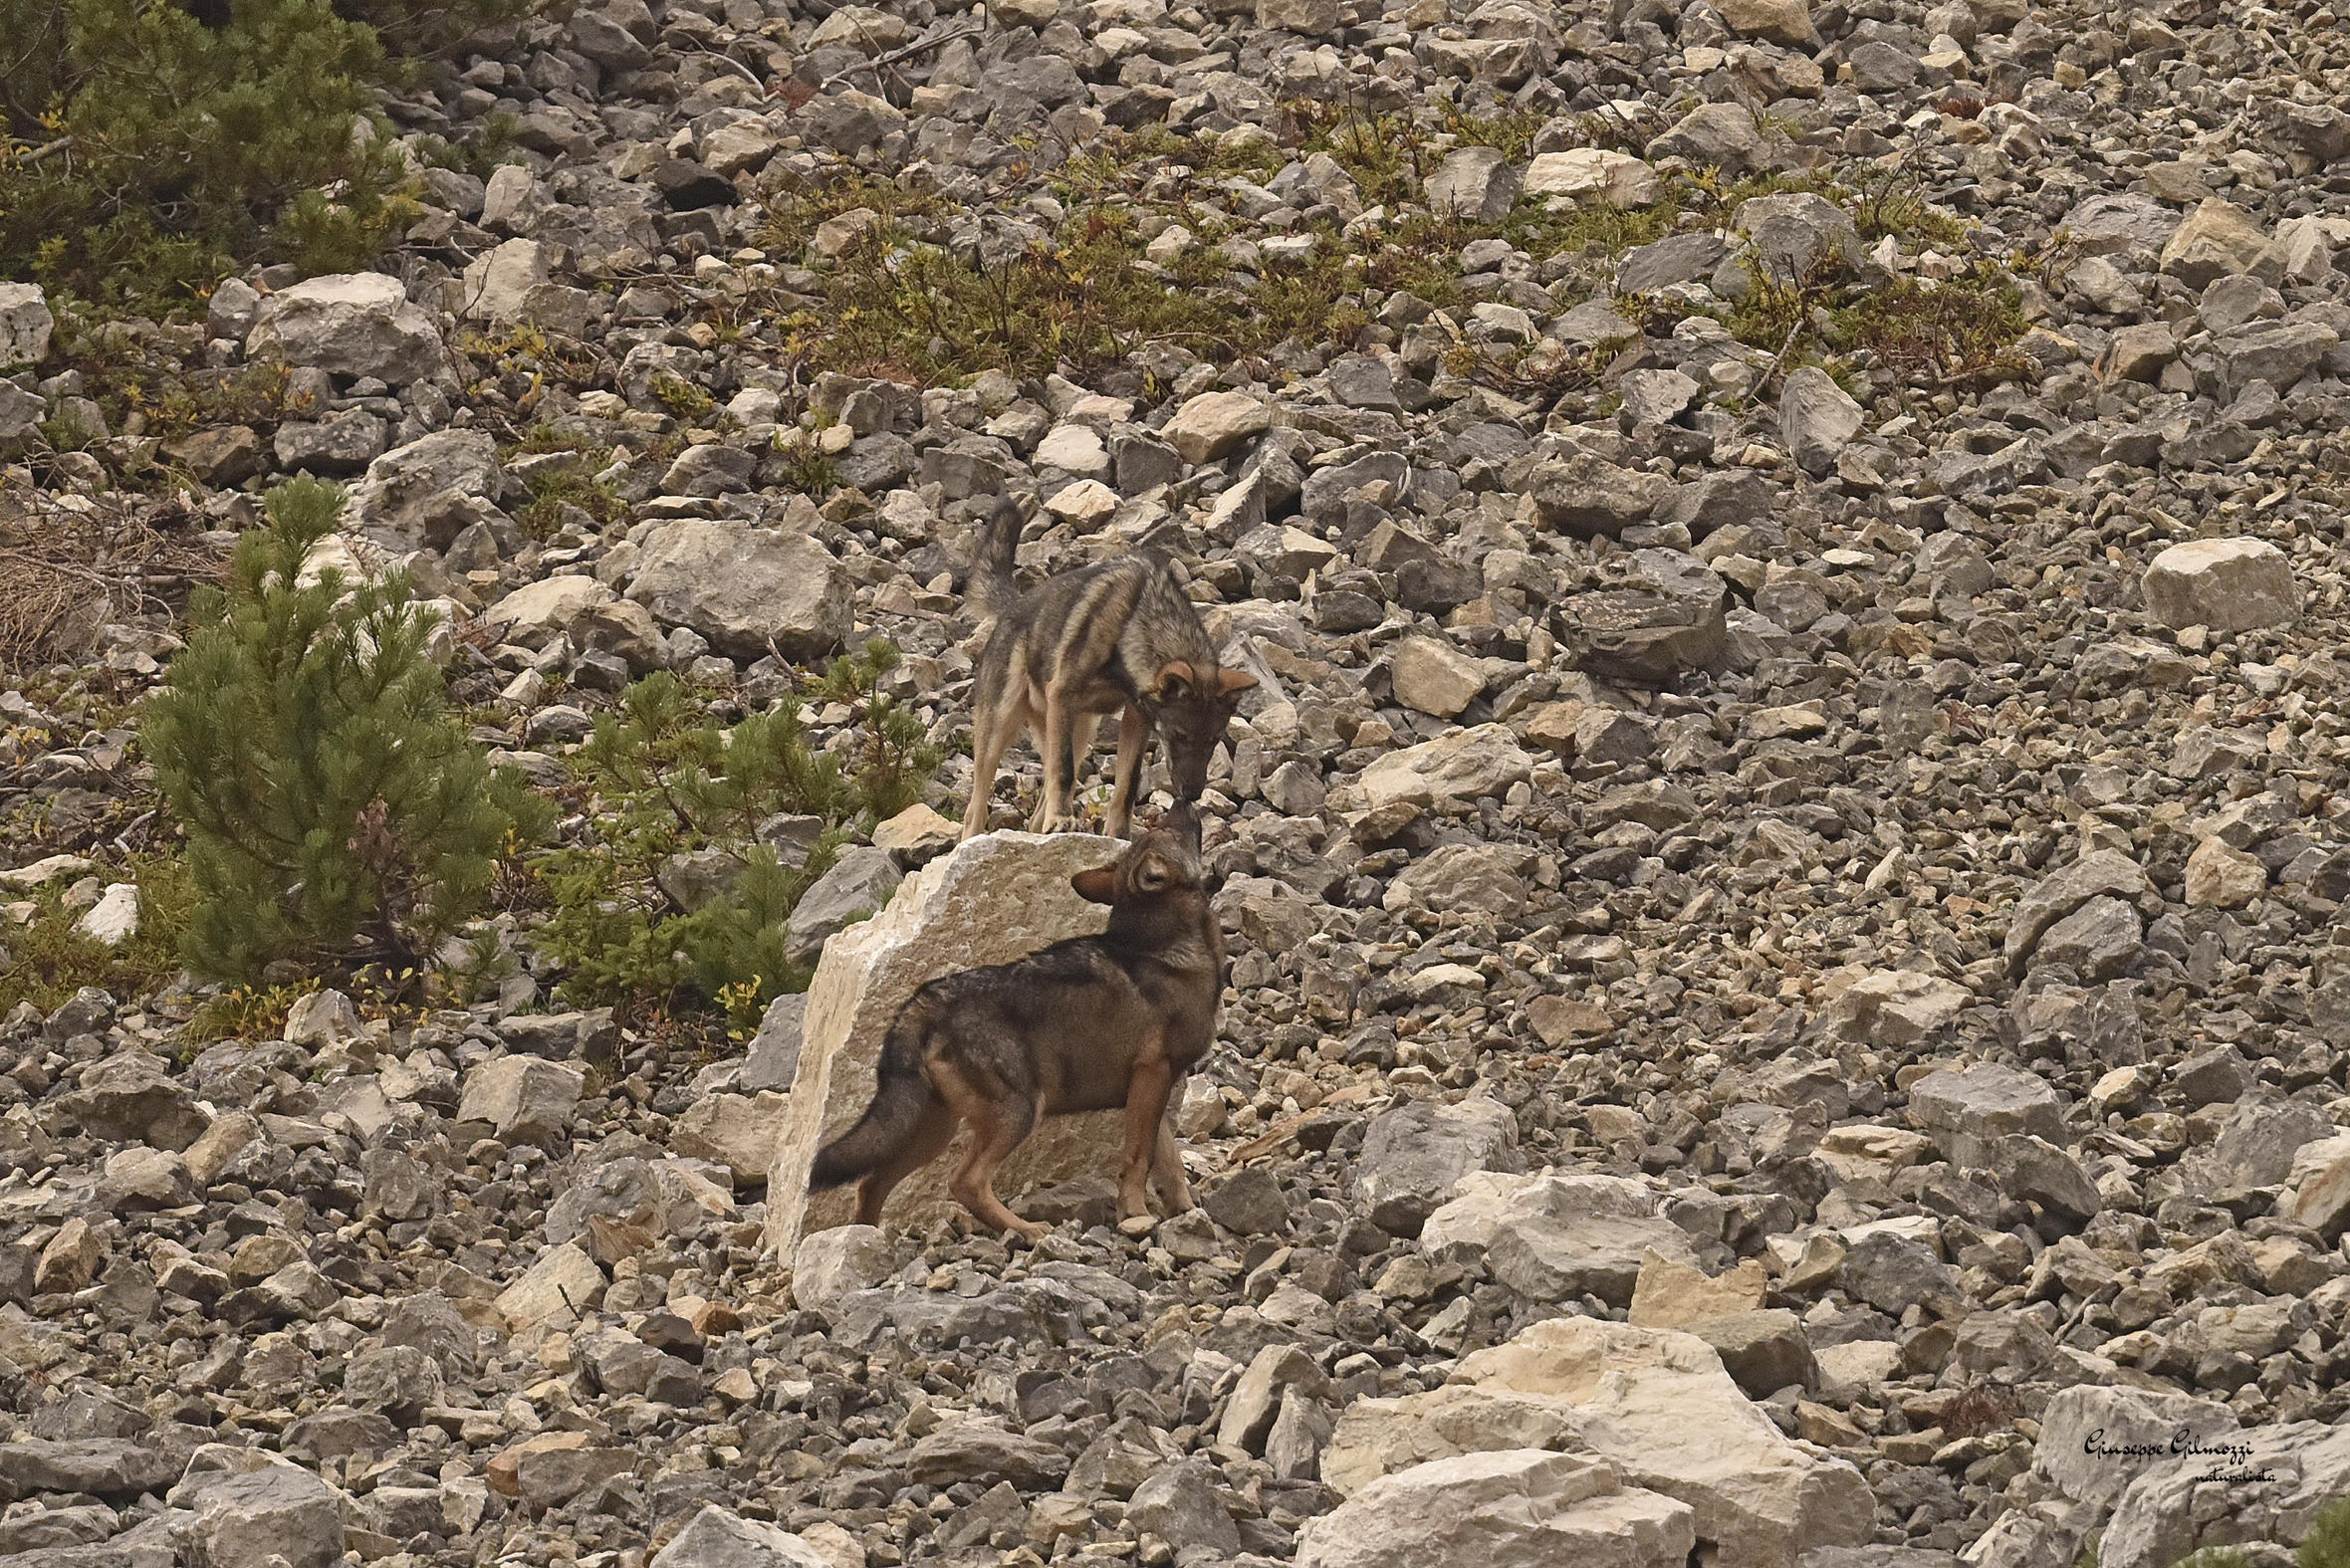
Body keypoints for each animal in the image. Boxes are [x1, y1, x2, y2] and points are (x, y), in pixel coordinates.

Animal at [808, 807, 1224, 1241]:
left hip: (934, 1129)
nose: (1182, 801)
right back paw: (1027, 1229)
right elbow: (1139, 1158)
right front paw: (1136, 1215)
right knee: (965, 1182)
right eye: (1172, 831)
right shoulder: (1152, 1074)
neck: (1164, 946)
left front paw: (1185, 1213)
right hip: (1018, 1112)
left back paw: (861, 1242)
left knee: (872, 1183)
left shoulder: (1150, 1086)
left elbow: (1170, 1165)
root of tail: (921, 1005)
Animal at [959, 498, 1256, 841]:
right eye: (1179, 735)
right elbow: (1063, 771)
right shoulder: (1064, 695)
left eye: (1214, 740)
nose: (1192, 794)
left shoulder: (1138, 718)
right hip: (1001, 729)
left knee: (1035, 816)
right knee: (975, 810)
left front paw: (1119, 836)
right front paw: (1062, 820)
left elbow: (1127, 785)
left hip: (1079, 732)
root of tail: (1013, 606)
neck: (1131, 625)